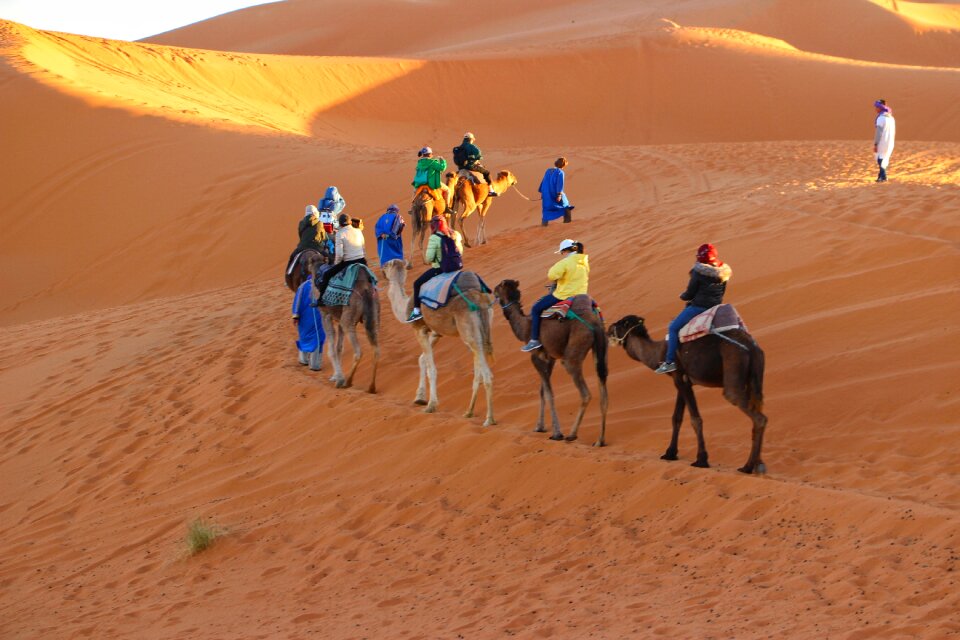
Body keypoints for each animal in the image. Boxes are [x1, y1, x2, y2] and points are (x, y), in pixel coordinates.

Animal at [310, 258, 380, 390]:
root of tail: (366, 289)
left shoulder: (325, 315)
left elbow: (332, 349)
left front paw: (338, 378)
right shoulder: (338, 319)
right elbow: (339, 348)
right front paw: (337, 376)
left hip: (348, 320)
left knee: (358, 352)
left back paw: (347, 381)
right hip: (373, 316)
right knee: (376, 349)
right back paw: (371, 387)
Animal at [380, 258, 496, 428]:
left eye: (387, 265)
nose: (381, 270)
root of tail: (478, 298)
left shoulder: (419, 329)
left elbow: (431, 369)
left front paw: (431, 405)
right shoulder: (436, 332)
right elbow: (422, 359)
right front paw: (419, 397)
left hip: (469, 330)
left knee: (485, 371)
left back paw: (489, 419)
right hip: (482, 329)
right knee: (479, 366)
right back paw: (469, 411)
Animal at [496, 280, 608, 444]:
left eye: (498, 288)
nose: (491, 290)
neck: (524, 326)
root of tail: (595, 324)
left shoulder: (535, 356)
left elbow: (549, 393)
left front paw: (556, 433)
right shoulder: (550, 358)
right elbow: (542, 391)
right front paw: (539, 427)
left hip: (574, 351)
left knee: (585, 392)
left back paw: (572, 434)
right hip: (600, 349)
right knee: (603, 387)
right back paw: (600, 440)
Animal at [604, 316, 768, 476]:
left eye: (620, 323)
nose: (608, 329)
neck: (659, 353)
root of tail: (751, 348)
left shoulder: (679, 378)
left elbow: (695, 420)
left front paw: (701, 460)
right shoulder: (682, 381)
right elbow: (676, 418)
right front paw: (670, 453)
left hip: (733, 369)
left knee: (757, 416)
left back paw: (748, 467)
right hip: (755, 377)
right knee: (758, 407)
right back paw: (756, 465)